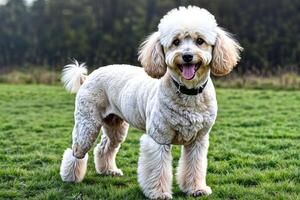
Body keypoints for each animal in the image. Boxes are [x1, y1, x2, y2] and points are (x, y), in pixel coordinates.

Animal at [59, 5, 243, 199]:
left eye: (200, 41)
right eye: (176, 42)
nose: (187, 56)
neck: (188, 92)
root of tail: (88, 77)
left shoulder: (197, 140)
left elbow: (194, 167)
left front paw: (196, 189)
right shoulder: (158, 138)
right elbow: (158, 169)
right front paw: (159, 193)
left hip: (115, 126)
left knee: (104, 148)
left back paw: (109, 171)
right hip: (87, 125)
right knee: (76, 151)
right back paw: (70, 177)